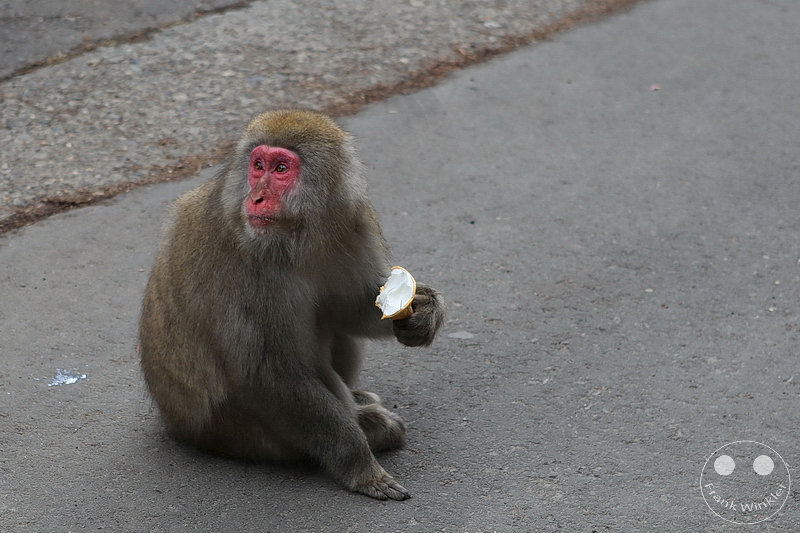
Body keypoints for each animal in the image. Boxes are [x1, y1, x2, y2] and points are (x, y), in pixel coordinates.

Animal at [139, 109, 445, 501]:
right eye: (258, 166)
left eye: (281, 168)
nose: (256, 199)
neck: (298, 234)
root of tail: (175, 423)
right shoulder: (245, 263)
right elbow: (268, 374)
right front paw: (360, 466)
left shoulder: (351, 220)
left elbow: (352, 308)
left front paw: (423, 313)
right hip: (245, 434)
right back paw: (368, 426)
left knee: (329, 323)